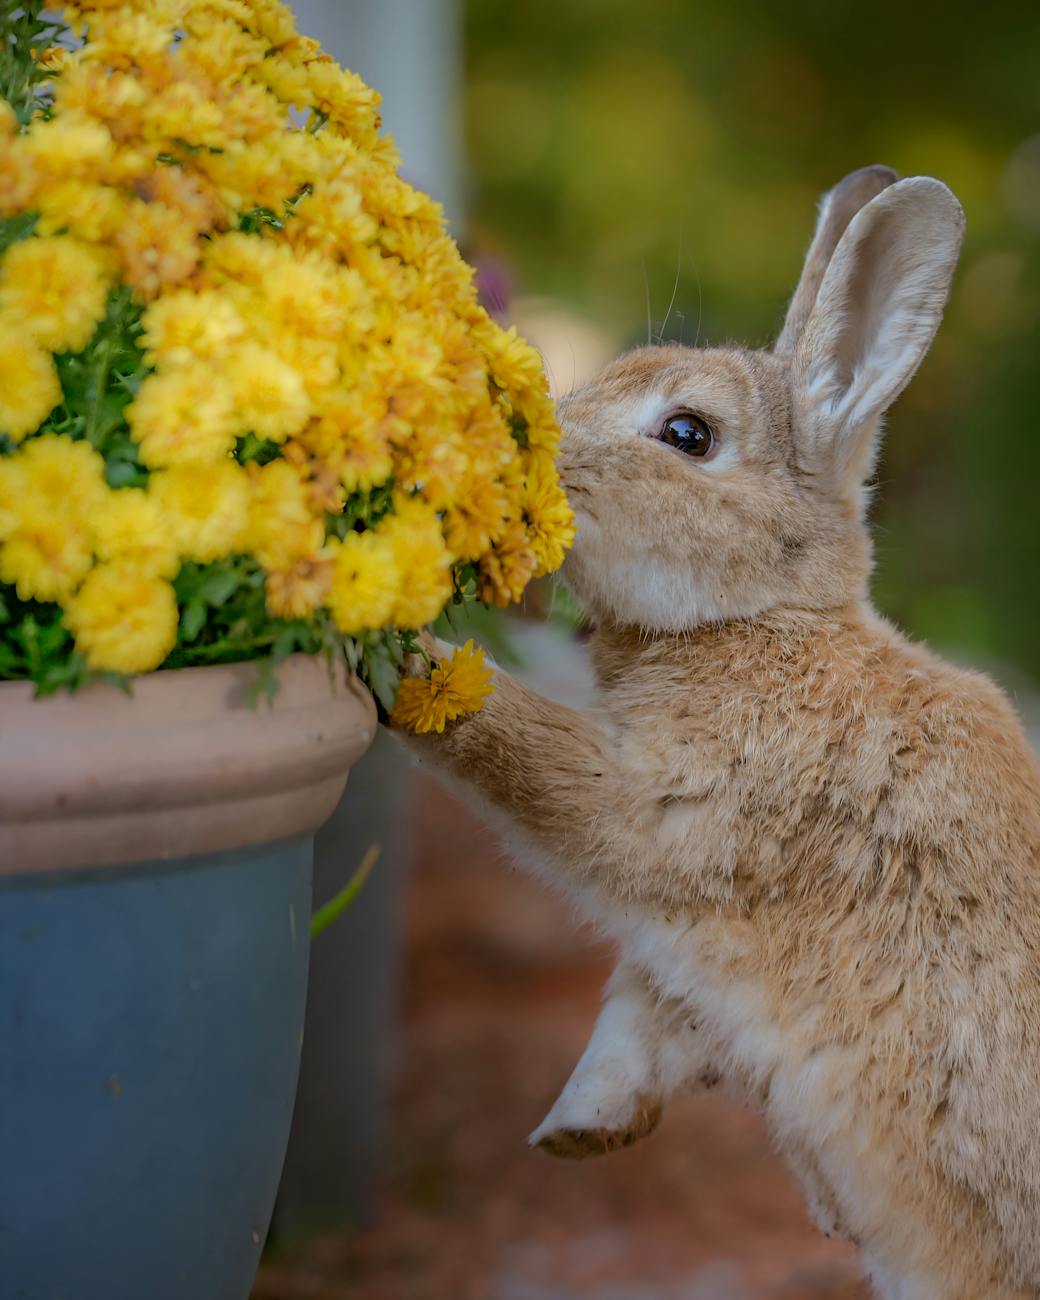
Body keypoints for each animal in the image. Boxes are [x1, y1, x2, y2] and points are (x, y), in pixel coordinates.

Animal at [396, 165, 1040, 1300]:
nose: (531, 446)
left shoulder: (672, 805)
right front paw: (580, 1129)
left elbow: (521, 752)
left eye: (687, 434)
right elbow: (634, 1020)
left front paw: (407, 663)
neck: (762, 621)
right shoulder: (673, 956)